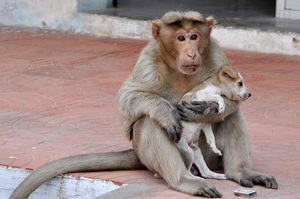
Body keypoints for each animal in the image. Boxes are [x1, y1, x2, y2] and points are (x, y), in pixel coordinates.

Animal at [9, 10, 278, 199]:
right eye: (181, 38)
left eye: (195, 36)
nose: (191, 52)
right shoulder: (149, 59)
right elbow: (129, 100)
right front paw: (171, 112)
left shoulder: (216, 52)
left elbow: (228, 106)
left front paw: (211, 109)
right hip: (162, 155)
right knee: (149, 123)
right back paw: (184, 180)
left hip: (206, 156)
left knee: (231, 118)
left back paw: (238, 172)